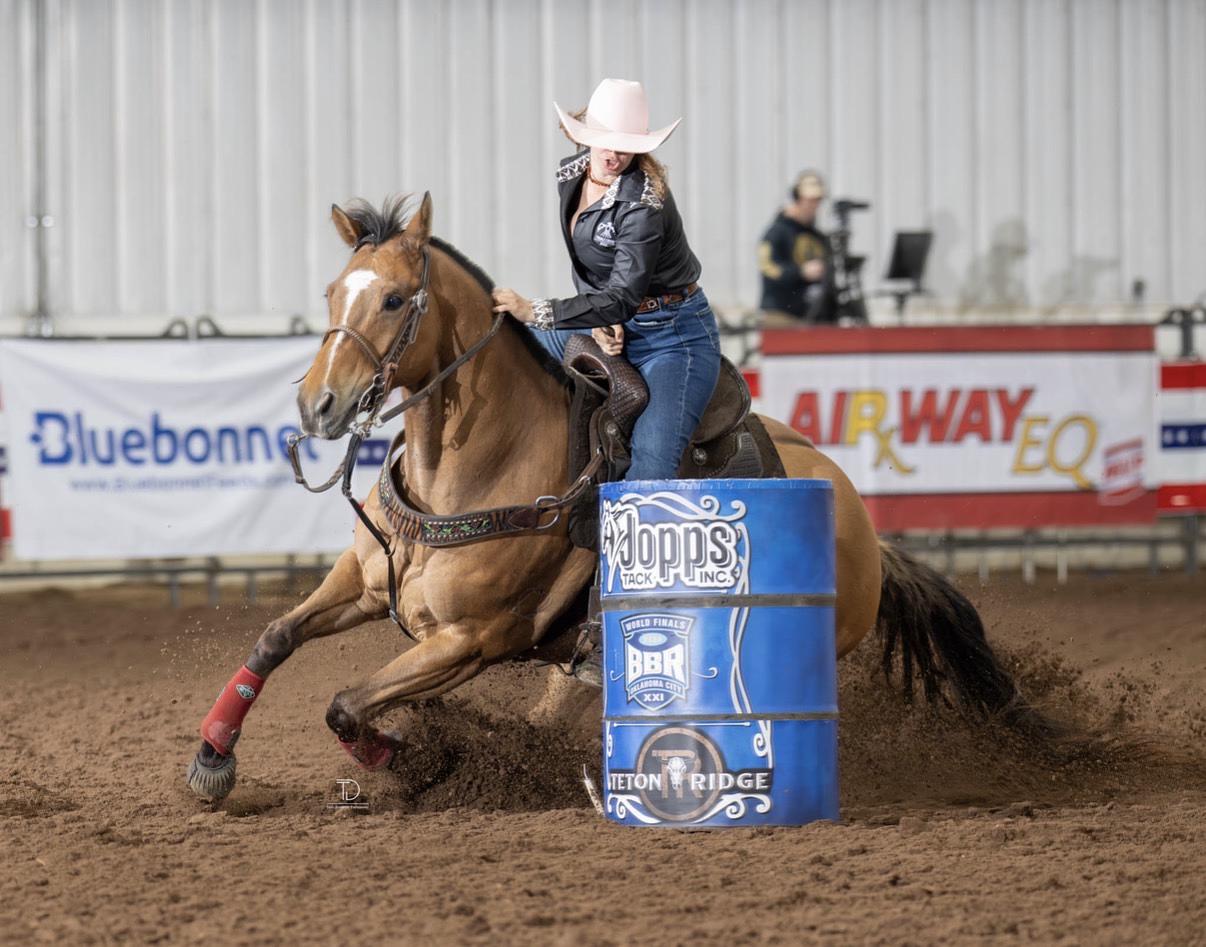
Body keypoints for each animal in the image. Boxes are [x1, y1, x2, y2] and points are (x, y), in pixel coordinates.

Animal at [186, 194, 1028, 802]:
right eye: (334, 292)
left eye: (394, 299)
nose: (318, 405)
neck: (476, 466)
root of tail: (862, 524)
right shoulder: (361, 584)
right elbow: (275, 638)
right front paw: (211, 757)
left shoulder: (467, 641)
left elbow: (347, 703)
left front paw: (411, 753)